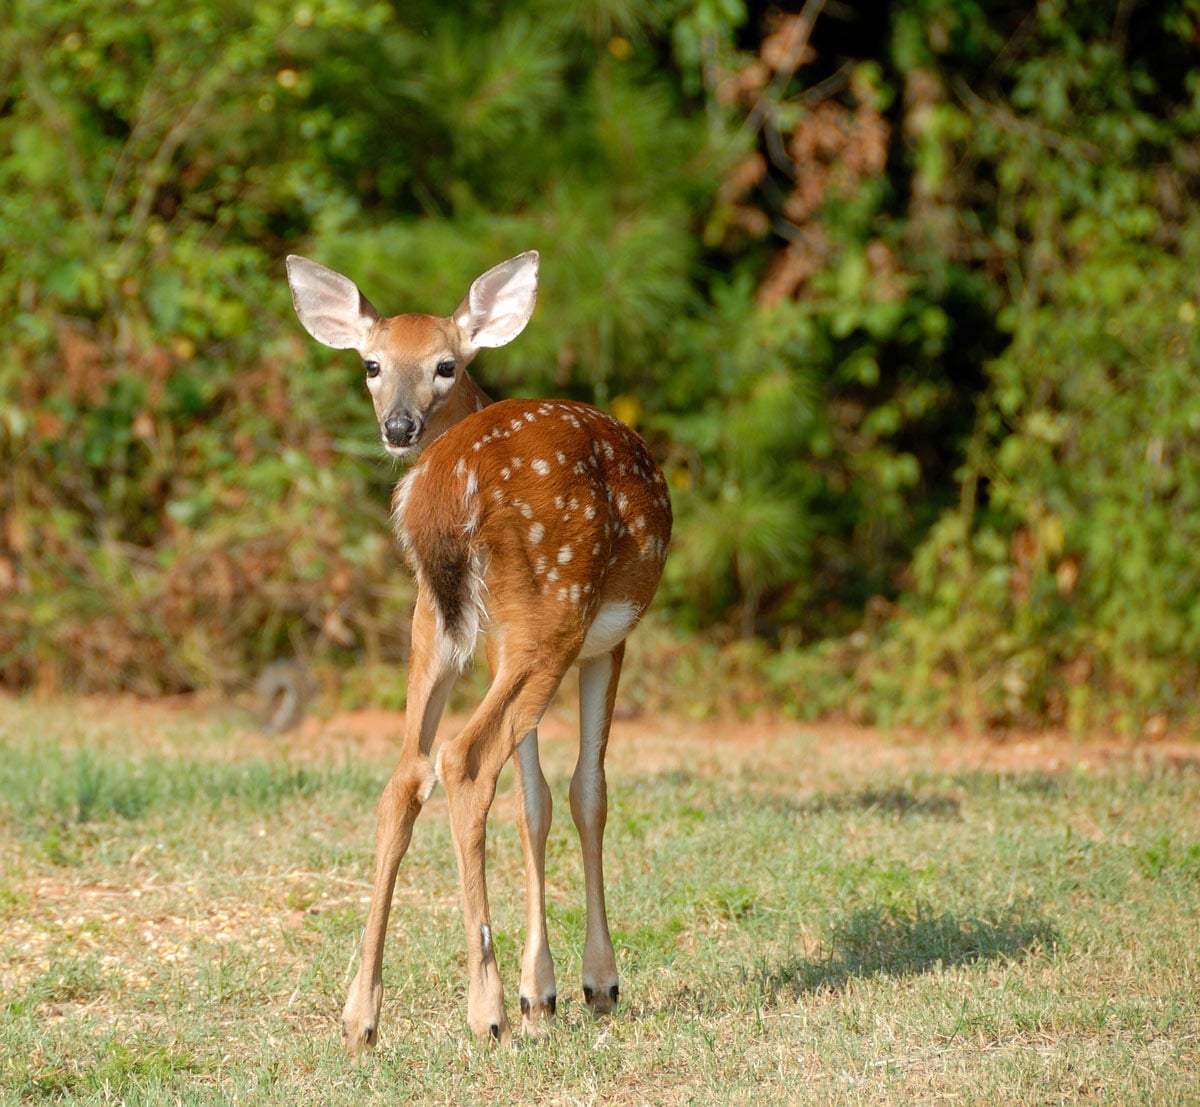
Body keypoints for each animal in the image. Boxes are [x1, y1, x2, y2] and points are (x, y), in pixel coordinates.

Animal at [284, 249, 672, 1055]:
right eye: (371, 363)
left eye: (444, 364)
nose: (399, 426)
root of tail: (443, 487)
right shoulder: (609, 640)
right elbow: (587, 791)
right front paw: (592, 985)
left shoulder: (489, 640)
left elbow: (536, 800)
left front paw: (543, 991)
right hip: (555, 609)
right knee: (463, 757)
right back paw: (484, 1009)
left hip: (432, 620)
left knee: (407, 772)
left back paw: (361, 1016)